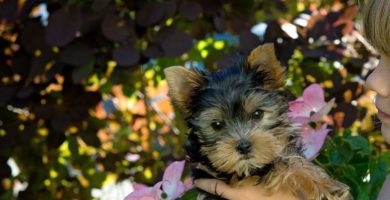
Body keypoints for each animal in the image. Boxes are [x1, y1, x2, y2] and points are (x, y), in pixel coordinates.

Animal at [164, 44, 350, 200]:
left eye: (257, 114)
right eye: (216, 125)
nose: (244, 146)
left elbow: (290, 160)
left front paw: (324, 184)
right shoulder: (222, 172)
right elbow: (277, 166)